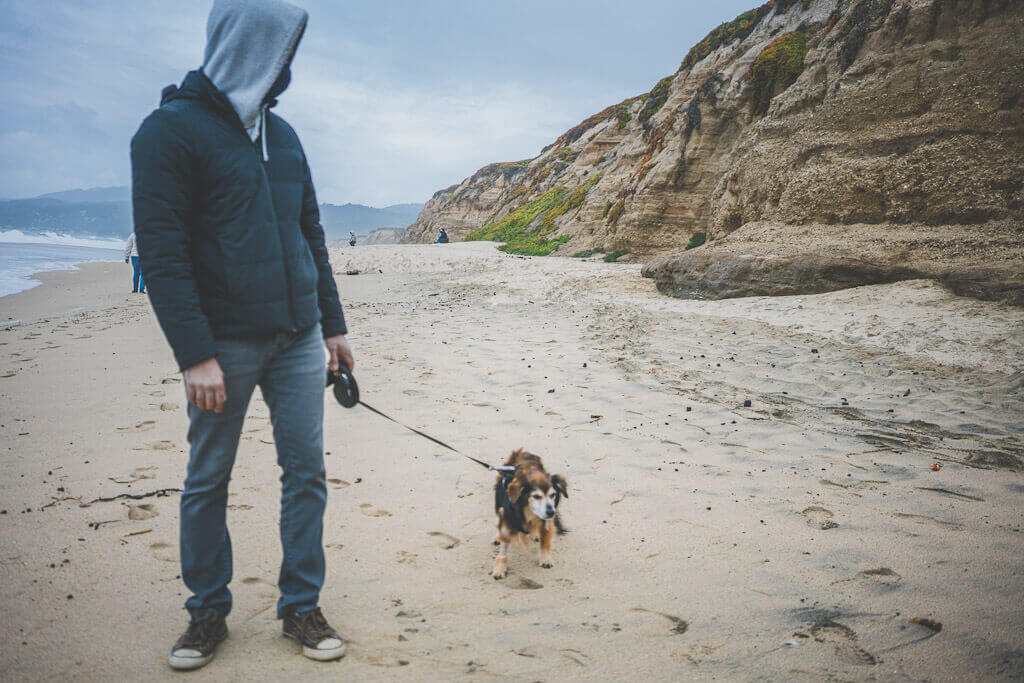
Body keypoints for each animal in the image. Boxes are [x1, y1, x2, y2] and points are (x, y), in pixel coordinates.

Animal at [489, 450, 565, 581]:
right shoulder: (508, 518)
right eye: (536, 496)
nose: (551, 512)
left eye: (553, 495)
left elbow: (545, 542)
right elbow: (504, 545)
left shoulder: (546, 521)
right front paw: (500, 567)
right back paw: (497, 537)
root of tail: (523, 452)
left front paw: (546, 559)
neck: (528, 510)